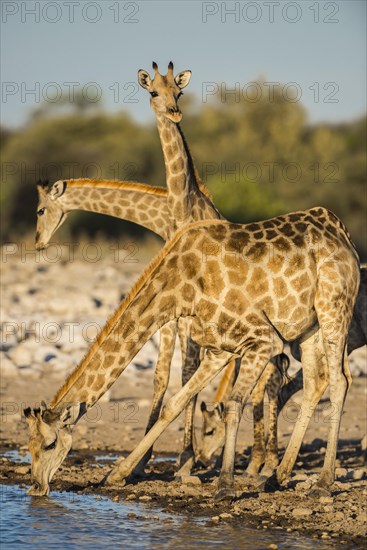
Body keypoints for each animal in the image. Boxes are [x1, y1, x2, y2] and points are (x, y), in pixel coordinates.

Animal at [25, 212, 360, 500]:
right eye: (28, 445)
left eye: (50, 443)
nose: (36, 487)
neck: (179, 289)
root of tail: (346, 237)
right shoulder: (220, 349)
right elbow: (173, 404)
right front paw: (116, 474)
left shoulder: (263, 339)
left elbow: (233, 404)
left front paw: (224, 484)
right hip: (308, 327)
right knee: (317, 381)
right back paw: (276, 478)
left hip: (333, 307)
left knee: (340, 381)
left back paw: (323, 483)